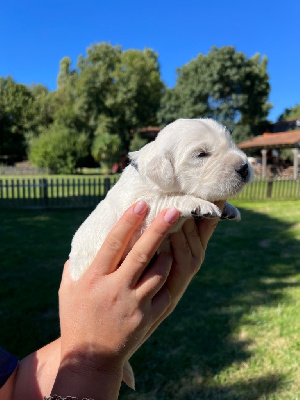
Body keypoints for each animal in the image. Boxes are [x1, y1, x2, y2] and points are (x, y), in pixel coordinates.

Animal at [67, 119, 251, 388]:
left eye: (231, 144)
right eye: (201, 154)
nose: (245, 167)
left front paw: (230, 208)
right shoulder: (144, 208)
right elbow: (171, 199)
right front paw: (197, 204)